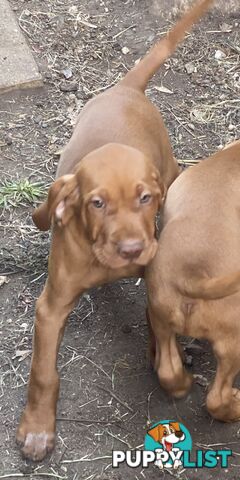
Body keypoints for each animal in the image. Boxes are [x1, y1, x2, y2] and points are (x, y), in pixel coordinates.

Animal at [16, 0, 214, 462]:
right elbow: (42, 372)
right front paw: (37, 430)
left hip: (172, 171)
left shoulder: (156, 278)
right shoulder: (51, 308)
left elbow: (161, 336)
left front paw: (172, 370)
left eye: (145, 198)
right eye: (97, 203)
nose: (131, 248)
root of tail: (128, 89)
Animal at [145, 141, 240, 422]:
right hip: (233, 343)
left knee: (168, 370)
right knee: (216, 398)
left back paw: (183, 381)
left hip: (161, 320)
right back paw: (235, 407)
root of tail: (194, 275)